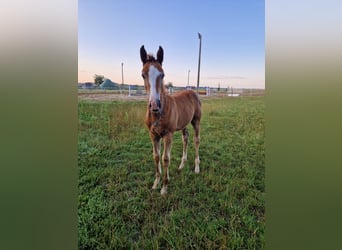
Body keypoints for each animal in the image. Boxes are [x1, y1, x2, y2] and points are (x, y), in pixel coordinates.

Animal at [140, 45, 202, 195]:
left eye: (162, 74)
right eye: (143, 75)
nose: (154, 105)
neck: (158, 114)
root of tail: (192, 92)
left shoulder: (168, 135)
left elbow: (165, 158)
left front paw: (164, 187)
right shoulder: (153, 135)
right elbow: (156, 156)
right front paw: (156, 183)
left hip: (196, 121)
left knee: (196, 140)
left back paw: (197, 168)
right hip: (184, 123)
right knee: (186, 138)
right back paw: (182, 165)